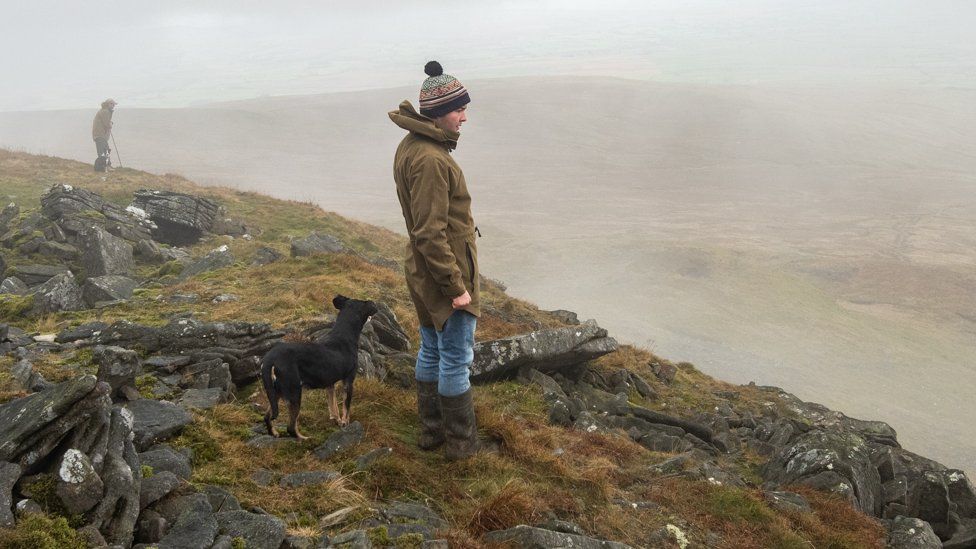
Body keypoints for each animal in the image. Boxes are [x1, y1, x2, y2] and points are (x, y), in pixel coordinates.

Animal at [262, 294, 380, 438]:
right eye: (364, 302)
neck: (344, 335)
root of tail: (270, 357)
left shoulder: (330, 384)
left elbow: (333, 406)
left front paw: (338, 421)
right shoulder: (348, 381)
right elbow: (346, 407)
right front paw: (346, 424)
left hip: (276, 389)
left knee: (267, 416)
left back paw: (274, 433)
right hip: (294, 391)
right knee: (291, 427)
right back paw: (304, 438)